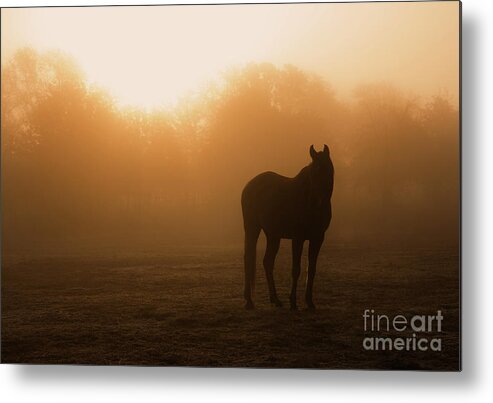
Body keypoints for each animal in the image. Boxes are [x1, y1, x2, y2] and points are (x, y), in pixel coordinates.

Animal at [239, 145, 332, 312]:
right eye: (312, 174)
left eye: (326, 170)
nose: (317, 202)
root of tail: (249, 185)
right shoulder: (298, 238)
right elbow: (296, 269)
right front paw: (293, 302)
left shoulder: (318, 238)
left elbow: (311, 269)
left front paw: (310, 302)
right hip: (252, 228)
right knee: (248, 258)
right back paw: (249, 301)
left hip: (273, 235)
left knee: (267, 262)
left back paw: (275, 300)